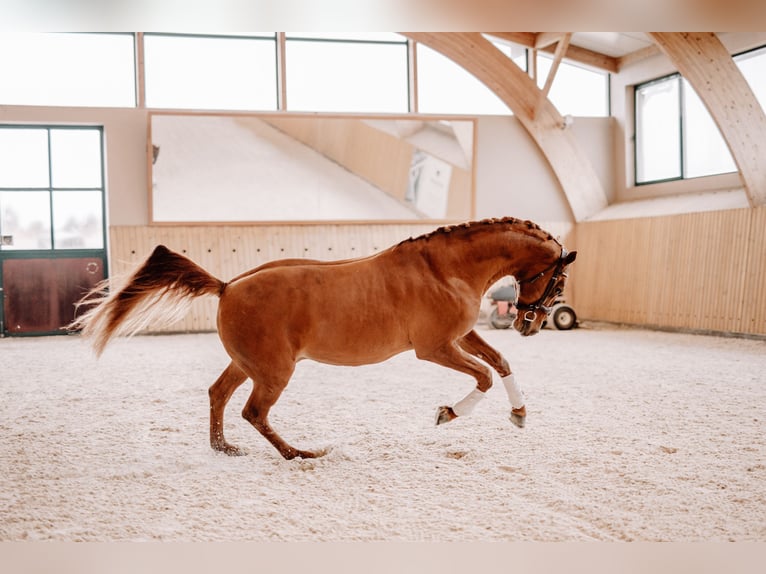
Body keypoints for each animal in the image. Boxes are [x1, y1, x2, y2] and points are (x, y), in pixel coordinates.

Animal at [70, 218, 576, 462]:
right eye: (558, 280)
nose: (530, 324)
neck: (445, 268)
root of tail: (228, 286)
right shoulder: (435, 347)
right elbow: (485, 375)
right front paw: (447, 413)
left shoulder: (460, 335)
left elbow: (502, 363)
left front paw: (520, 415)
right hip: (275, 371)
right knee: (253, 412)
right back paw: (299, 454)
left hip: (250, 364)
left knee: (218, 394)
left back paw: (224, 448)